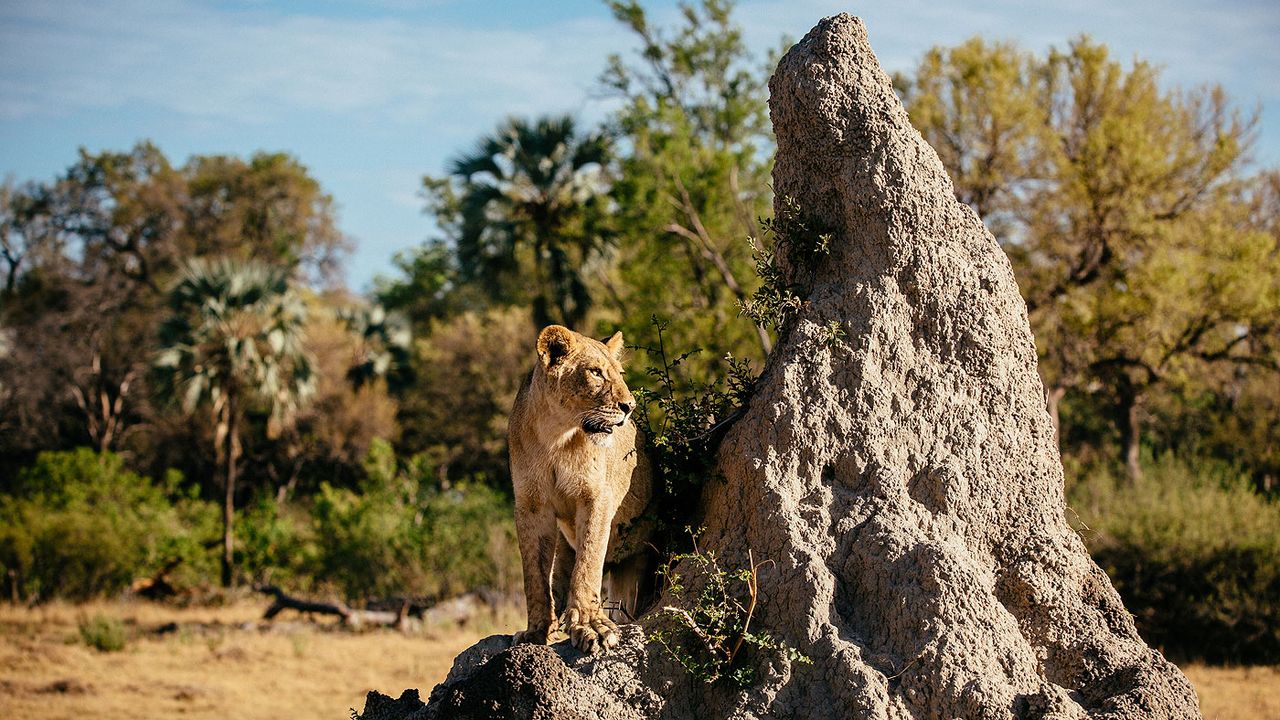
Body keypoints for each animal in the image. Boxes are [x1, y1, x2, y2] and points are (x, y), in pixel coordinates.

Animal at [508, 324, 654, 653]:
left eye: (620, 373)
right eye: (596, 373)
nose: (630, 406)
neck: (556, 437)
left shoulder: (596, 497)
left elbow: (589, 561)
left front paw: (591, 627)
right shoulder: (530, 504)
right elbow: (534, 574)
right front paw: (536, 631)